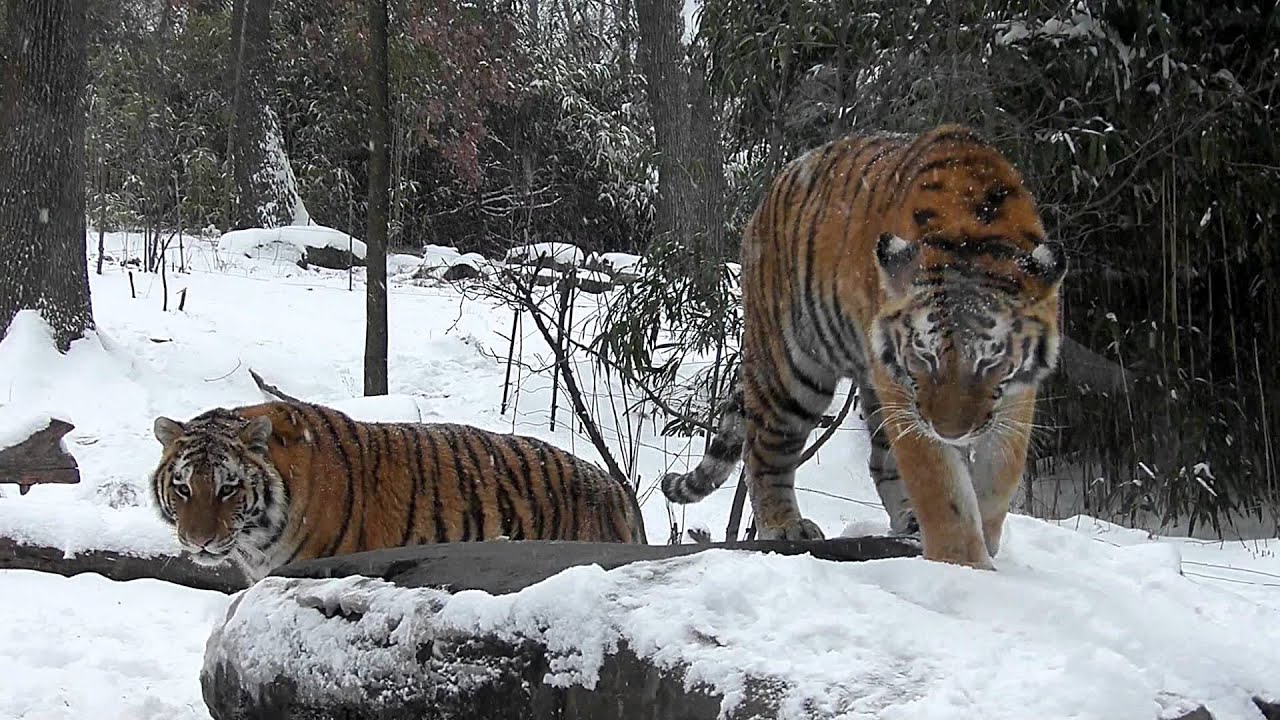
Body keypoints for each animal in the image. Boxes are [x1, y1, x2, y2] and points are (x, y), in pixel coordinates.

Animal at [661, 124, 1066, 569]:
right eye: (924, 356)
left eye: (990, 361)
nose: (951, 433)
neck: (972, 234)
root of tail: (767, 200)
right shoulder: (904, 391)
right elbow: (940, 485)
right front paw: (964, 564)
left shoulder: (1015, 393)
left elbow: (1001, 471)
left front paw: (985, 539)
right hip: (794, 370)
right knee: (764, 450)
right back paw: (784, 525)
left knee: (880, 461)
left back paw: (909, 519)